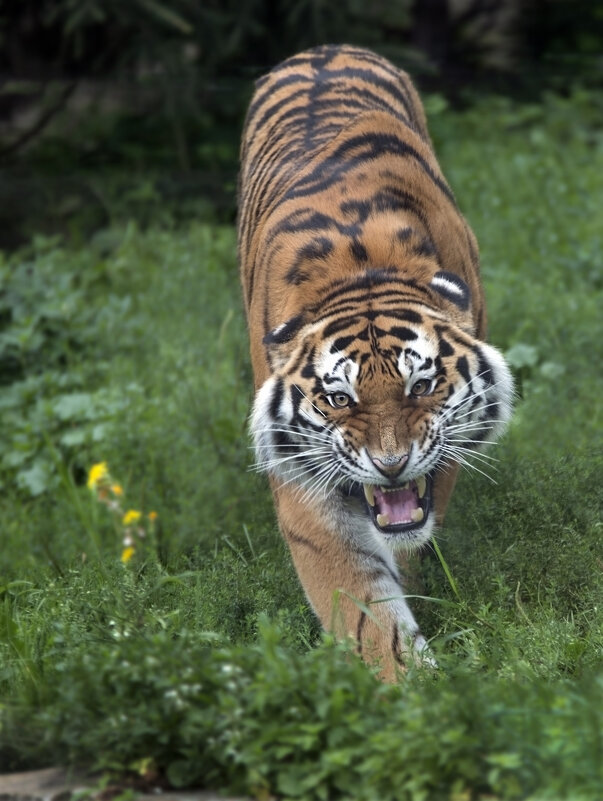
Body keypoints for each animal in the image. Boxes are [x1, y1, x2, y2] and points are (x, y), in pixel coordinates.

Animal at [236, 45, 516, 680]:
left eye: (422, 385)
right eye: (339, 399)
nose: (391, 466)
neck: (359, 269)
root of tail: (325, 48)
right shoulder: (305, 477)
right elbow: (362, 607)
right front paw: (409, 686)